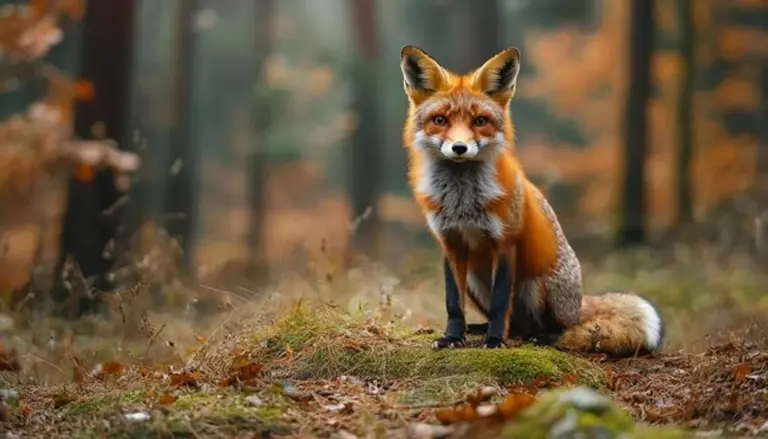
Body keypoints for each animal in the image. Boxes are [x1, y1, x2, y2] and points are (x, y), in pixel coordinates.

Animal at [398, 45, 664, 357]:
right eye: (440, 120)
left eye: (480, 121)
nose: (460, 147)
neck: (463, 202)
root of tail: (578, 304)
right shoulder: (451, 243)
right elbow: (453, 303)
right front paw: (452, 337)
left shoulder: (506, 242)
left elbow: (501, 303)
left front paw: (495, 341)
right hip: (476, 281)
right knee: (515, 323)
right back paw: (483, 328)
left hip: (537, 286)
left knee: (556, 329)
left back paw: (538, 337)